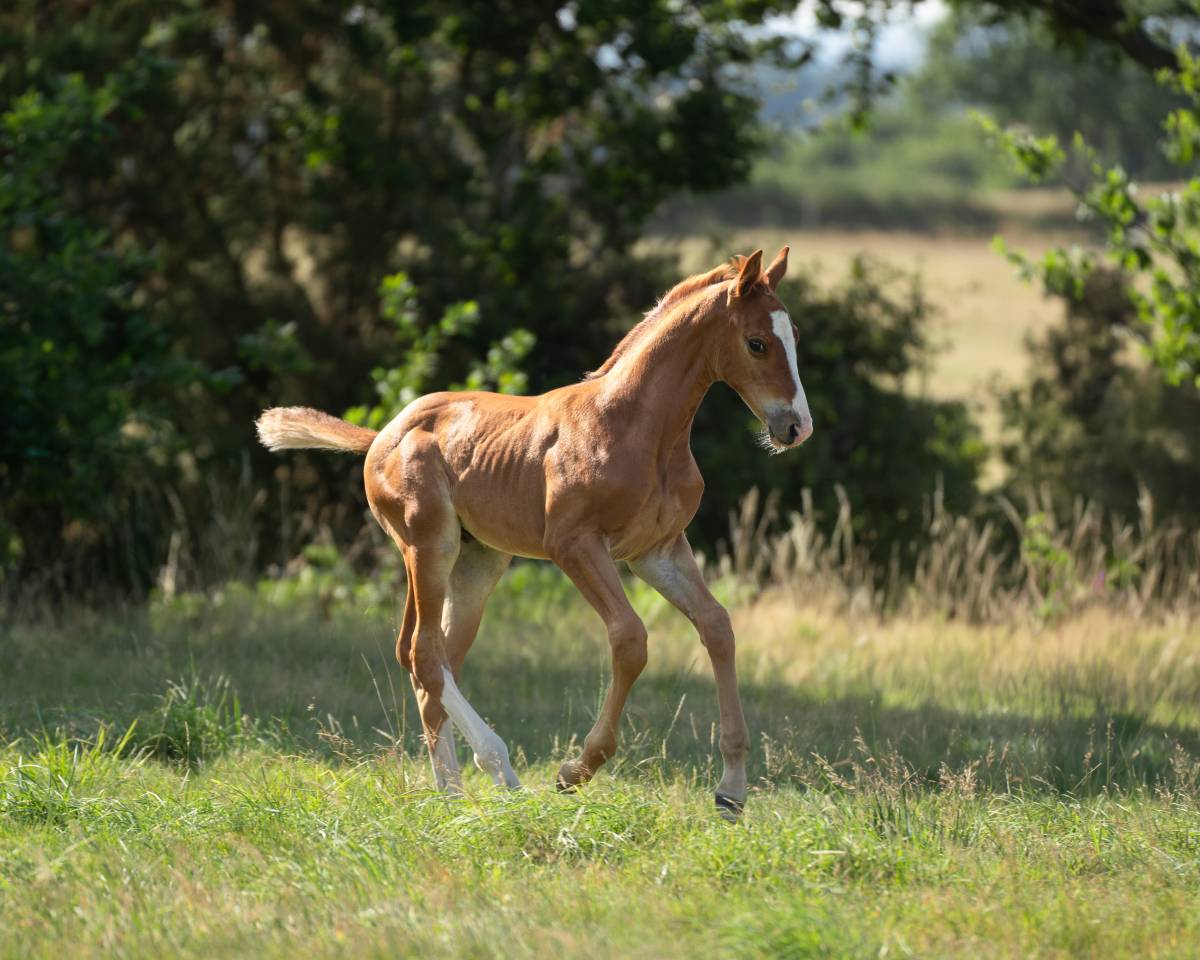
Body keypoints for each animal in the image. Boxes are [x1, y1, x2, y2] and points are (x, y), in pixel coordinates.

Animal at [256, 246, 811, 818]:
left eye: (793, 336)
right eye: (757, 342)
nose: (795, 427)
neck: (638, 428)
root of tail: (381, 435)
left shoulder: (657, 550)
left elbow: (718, 626)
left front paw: (731, 790)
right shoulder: (573, 545)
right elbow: (630, 638)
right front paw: (575, 771)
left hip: (478, 563)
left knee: (434, 659)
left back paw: (452, 797)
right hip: (428, 545)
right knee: (422, 653)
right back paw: (502, 775)